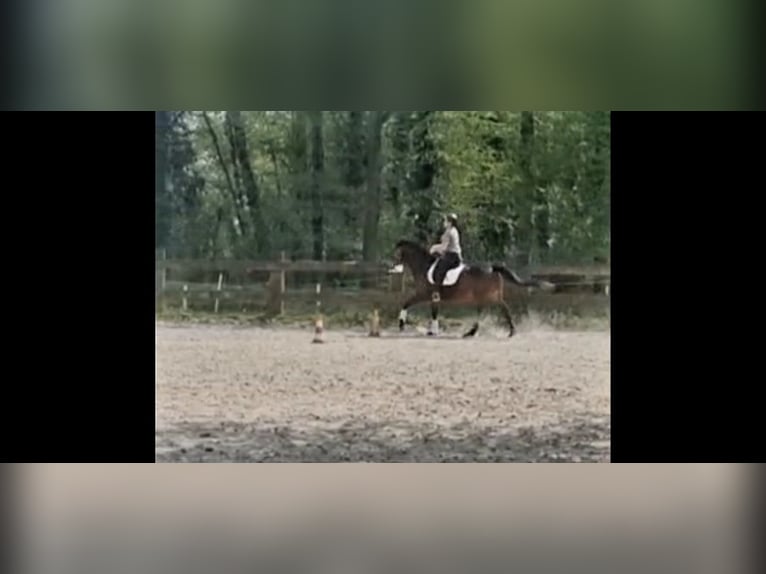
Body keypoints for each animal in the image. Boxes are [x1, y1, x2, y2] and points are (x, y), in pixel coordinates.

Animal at [392, 239, 554, 337]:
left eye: (397, 254)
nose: (393, 267)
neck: (424, 266)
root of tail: (492, 268)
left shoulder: (424, 294)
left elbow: (407, 304)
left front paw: (402, 324)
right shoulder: (430, 296)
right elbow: (432, 311)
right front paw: (431, 330)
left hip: (485, 295)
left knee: (496, 309)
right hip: (490, 295)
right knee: (497, 308)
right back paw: (476, 332)